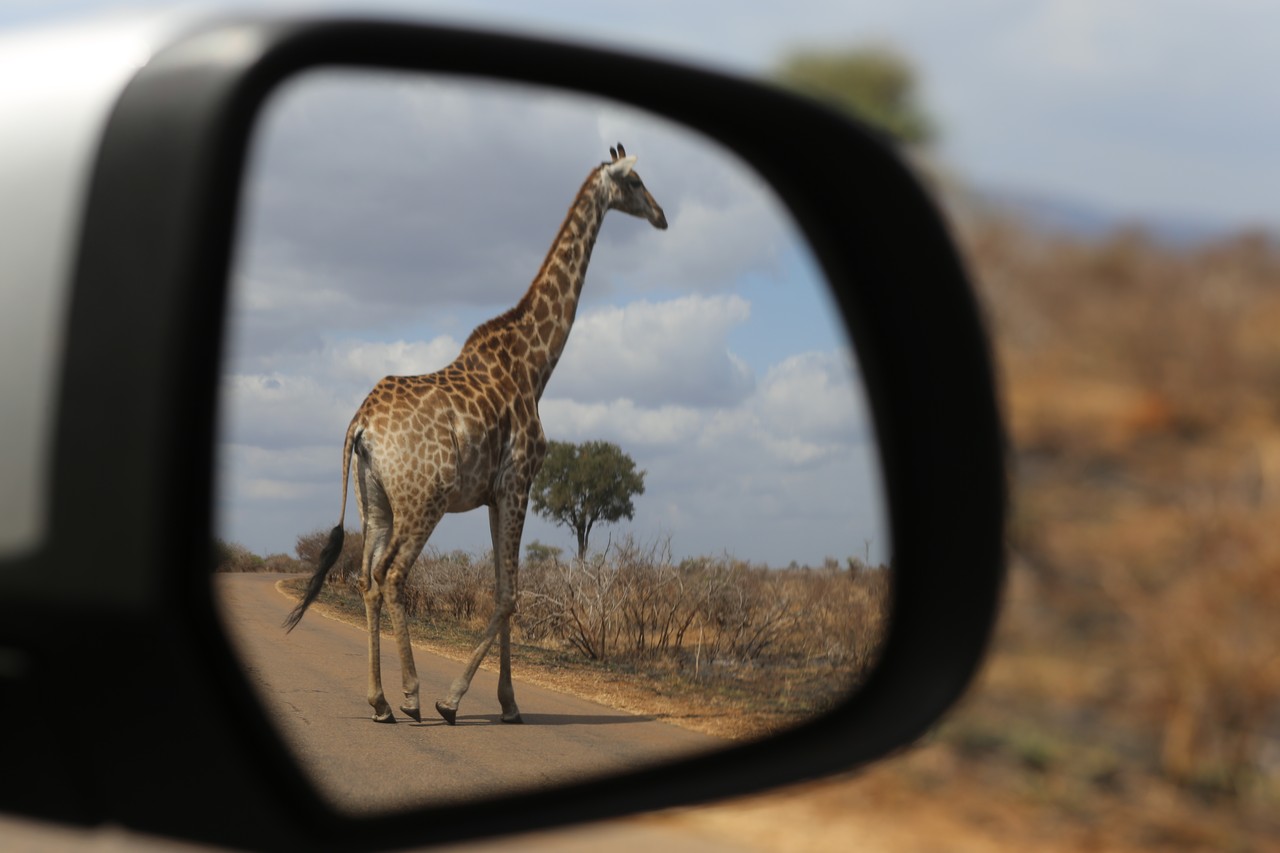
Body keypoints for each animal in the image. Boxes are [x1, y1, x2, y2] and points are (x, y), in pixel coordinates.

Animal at [283, 143, 667, 725]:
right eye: (637, 181)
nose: (662, 216)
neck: (535, 362)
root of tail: (360, 425)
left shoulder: (492, 493)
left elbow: (501, 587)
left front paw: (508, 703)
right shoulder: (518, 481)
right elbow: (510, 594)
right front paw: (455, 700)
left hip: (378, 503)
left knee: (368, 578)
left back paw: (379, 701)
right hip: (426, 499)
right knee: (393, 575)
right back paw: (412, 696)